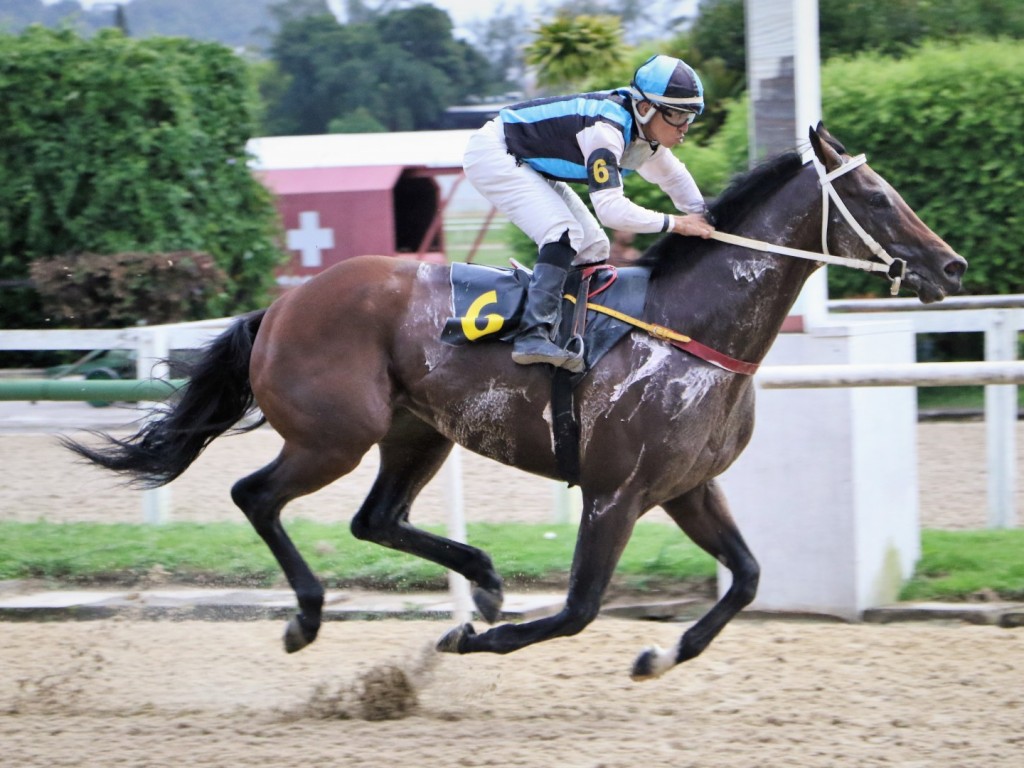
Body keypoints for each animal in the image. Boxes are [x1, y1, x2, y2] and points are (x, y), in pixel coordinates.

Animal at [66, 123, 966, 684]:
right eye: (877, 198)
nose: (952, 266)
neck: (693, 327)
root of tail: (281, 306)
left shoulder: (686, 487)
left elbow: (745, 578)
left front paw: (657, 657)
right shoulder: (615, 493)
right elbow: (579, 609)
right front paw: (478, 638)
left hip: (417, 433)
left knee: (374, 518)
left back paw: (484, 578)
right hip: (333, 437)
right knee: (255, 495)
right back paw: (309, 617)